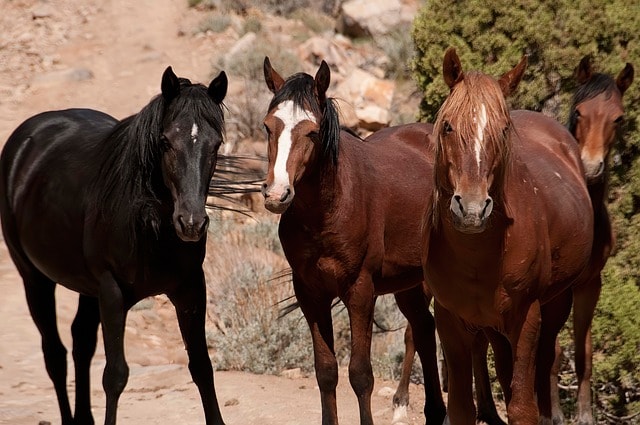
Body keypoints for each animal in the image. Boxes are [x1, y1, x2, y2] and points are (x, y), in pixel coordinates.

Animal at [0, 66, 228, 425]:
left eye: (216, 144)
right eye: (165, 141)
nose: (191, 223)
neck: (150, 227)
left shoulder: (191, 287)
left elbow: (202, 367)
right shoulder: (112, 291)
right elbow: (115, 375)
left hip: (86, 288)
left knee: (80, 342)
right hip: (34, 279)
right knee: (55, 355)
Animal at [261, 56, 446, 425]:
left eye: (312, 131)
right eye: (267, 127)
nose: (277, 194)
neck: (328, 210)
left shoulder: (360, 292)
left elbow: (360, 374)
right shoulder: (310, 294)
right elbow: (326, 371)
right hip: (408, 285)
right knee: (422, 329)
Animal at [422, 48, 594, 424]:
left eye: (502, 130)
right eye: (447, 126)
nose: (471, 209)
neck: (476, 256)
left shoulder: (526, 317)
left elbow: (523, 408)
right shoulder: (450, 319)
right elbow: (461, 408)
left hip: (557, 304)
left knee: (546, 365)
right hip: (493, 328)